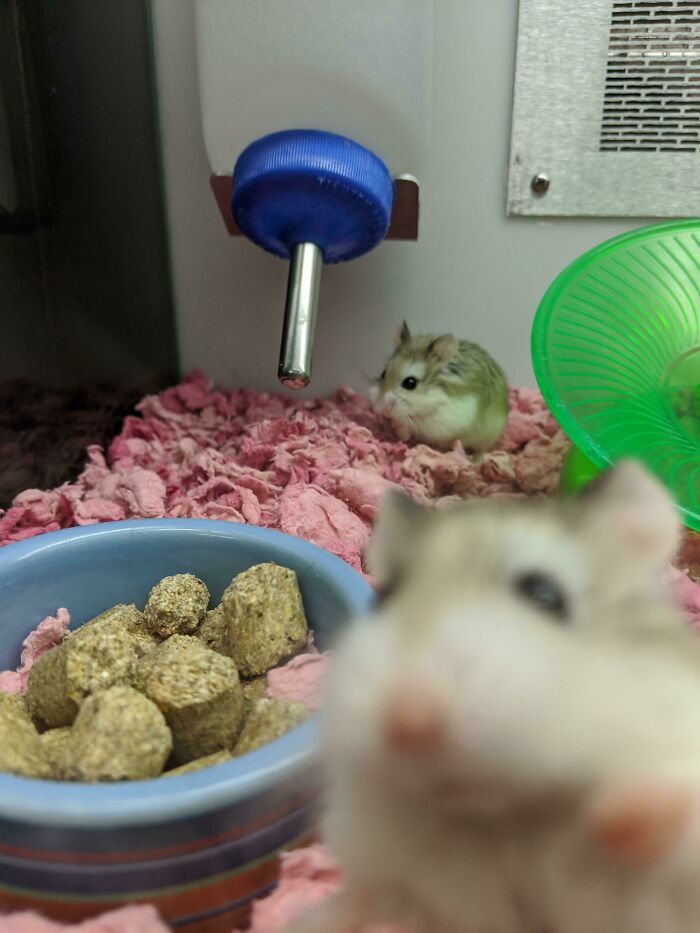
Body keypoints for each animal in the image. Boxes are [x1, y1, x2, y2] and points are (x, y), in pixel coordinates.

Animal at [372, 320, 508, 456]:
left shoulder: (443, 423)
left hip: (487, 436)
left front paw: (402, 430)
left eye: (410, 383)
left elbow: (415, 425)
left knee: (481, 451)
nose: (382, 410)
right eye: (383, 373)